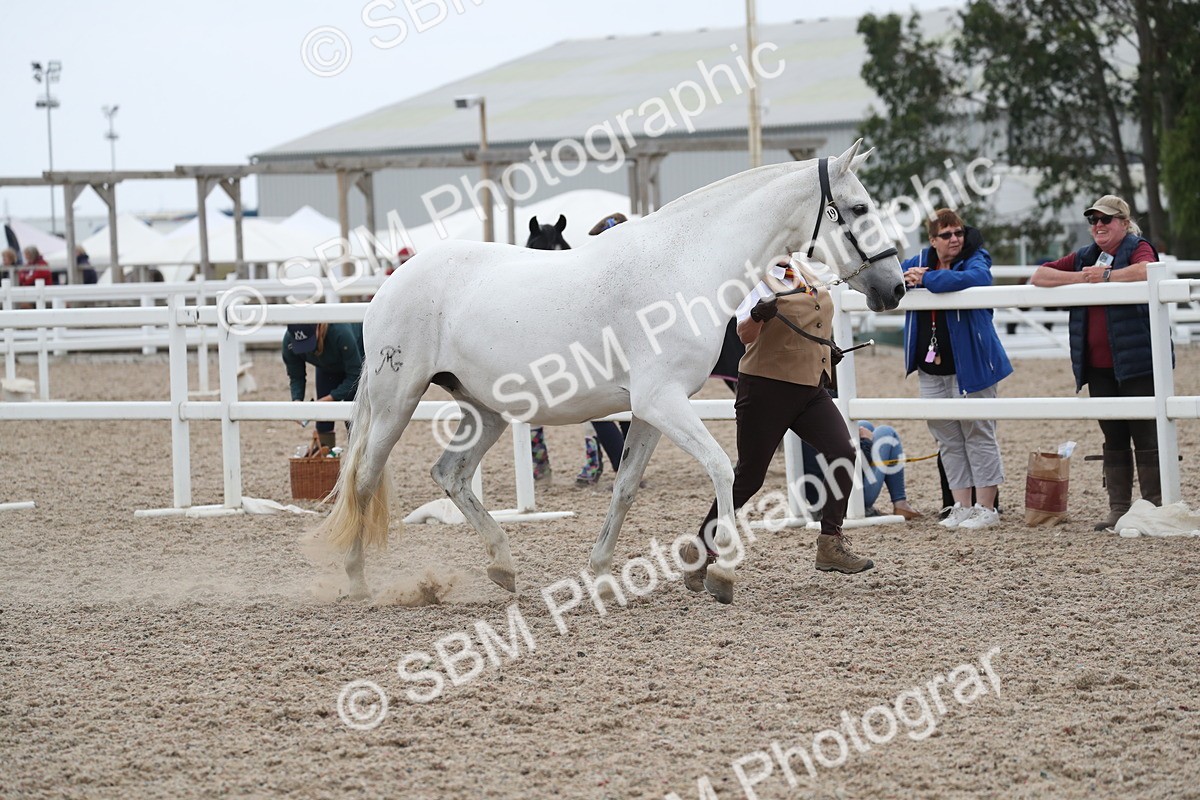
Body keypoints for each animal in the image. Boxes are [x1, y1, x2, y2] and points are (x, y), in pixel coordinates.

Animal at [317, 140, 904, 605]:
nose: (895, 287)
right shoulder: (662, 402)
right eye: (858, 206)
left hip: (485, 409)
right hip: (397, 400)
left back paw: (503, 566)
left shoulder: (648, 410)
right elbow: (722, 469)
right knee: (364, 477)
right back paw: (357, 580)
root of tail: (390, 284)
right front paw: (725, 573)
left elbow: (625, 488)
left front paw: (599, 574)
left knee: (450, 474)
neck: (684, 265)